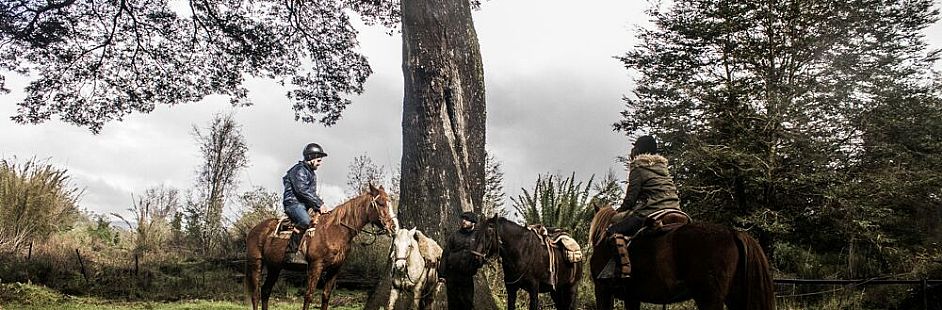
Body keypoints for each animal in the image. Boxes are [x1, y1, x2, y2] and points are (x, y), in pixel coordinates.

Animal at [245, 184, 396, 310]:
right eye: (381, 203)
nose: (393, 227)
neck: (335, 231)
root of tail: (254, 229)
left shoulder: (335, 269)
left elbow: (326, 296)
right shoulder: (316, 267)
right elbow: (309, 296)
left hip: (274, 267)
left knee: (265, 291)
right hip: (256, 263)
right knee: (256, 294)